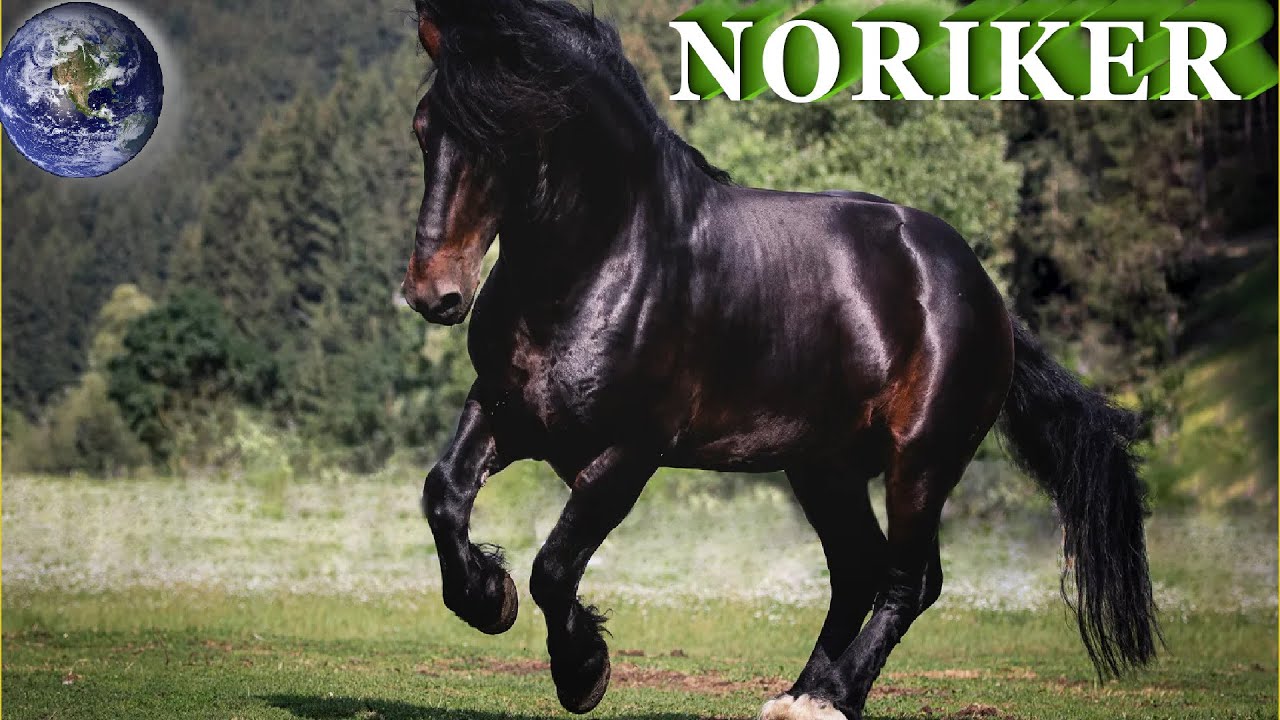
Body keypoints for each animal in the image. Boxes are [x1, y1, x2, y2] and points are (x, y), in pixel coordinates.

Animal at [401, 2, 1160, 718]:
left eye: (501, 133)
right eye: (423, 128)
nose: (434, 293)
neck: (605, 262)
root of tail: (984, 289)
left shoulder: (629, 452)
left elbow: (555, 567)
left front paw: (583, 672)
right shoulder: (504, 410)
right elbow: (444, 494)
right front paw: (487, 597)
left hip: (921, 460)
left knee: (909, 580)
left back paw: (832, 698)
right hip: (825, 466)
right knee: (859, 568)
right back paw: (801, 693)